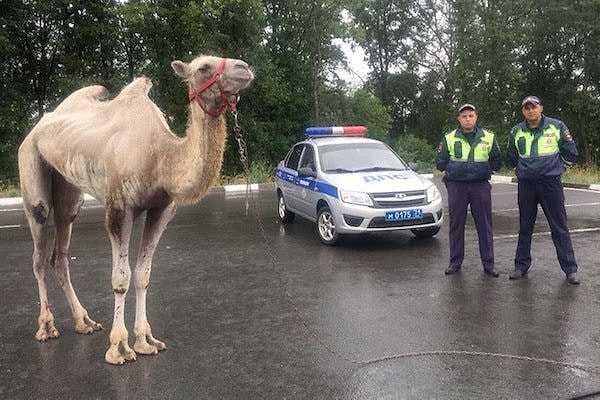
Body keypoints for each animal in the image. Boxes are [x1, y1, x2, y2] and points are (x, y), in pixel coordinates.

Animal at [17, 54, 254, 364]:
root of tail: (36, 128)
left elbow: (143, 276)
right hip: (31, 166)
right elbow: (121, 279)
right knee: (38, 248)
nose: (244, 68)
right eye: (203, 67)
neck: (161, 157)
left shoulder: (161, 210)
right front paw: (118, 347)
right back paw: (46, 327)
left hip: (68, 191)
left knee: (61, 251)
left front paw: (146, 340)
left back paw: (84, 321)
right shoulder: (119, 209)